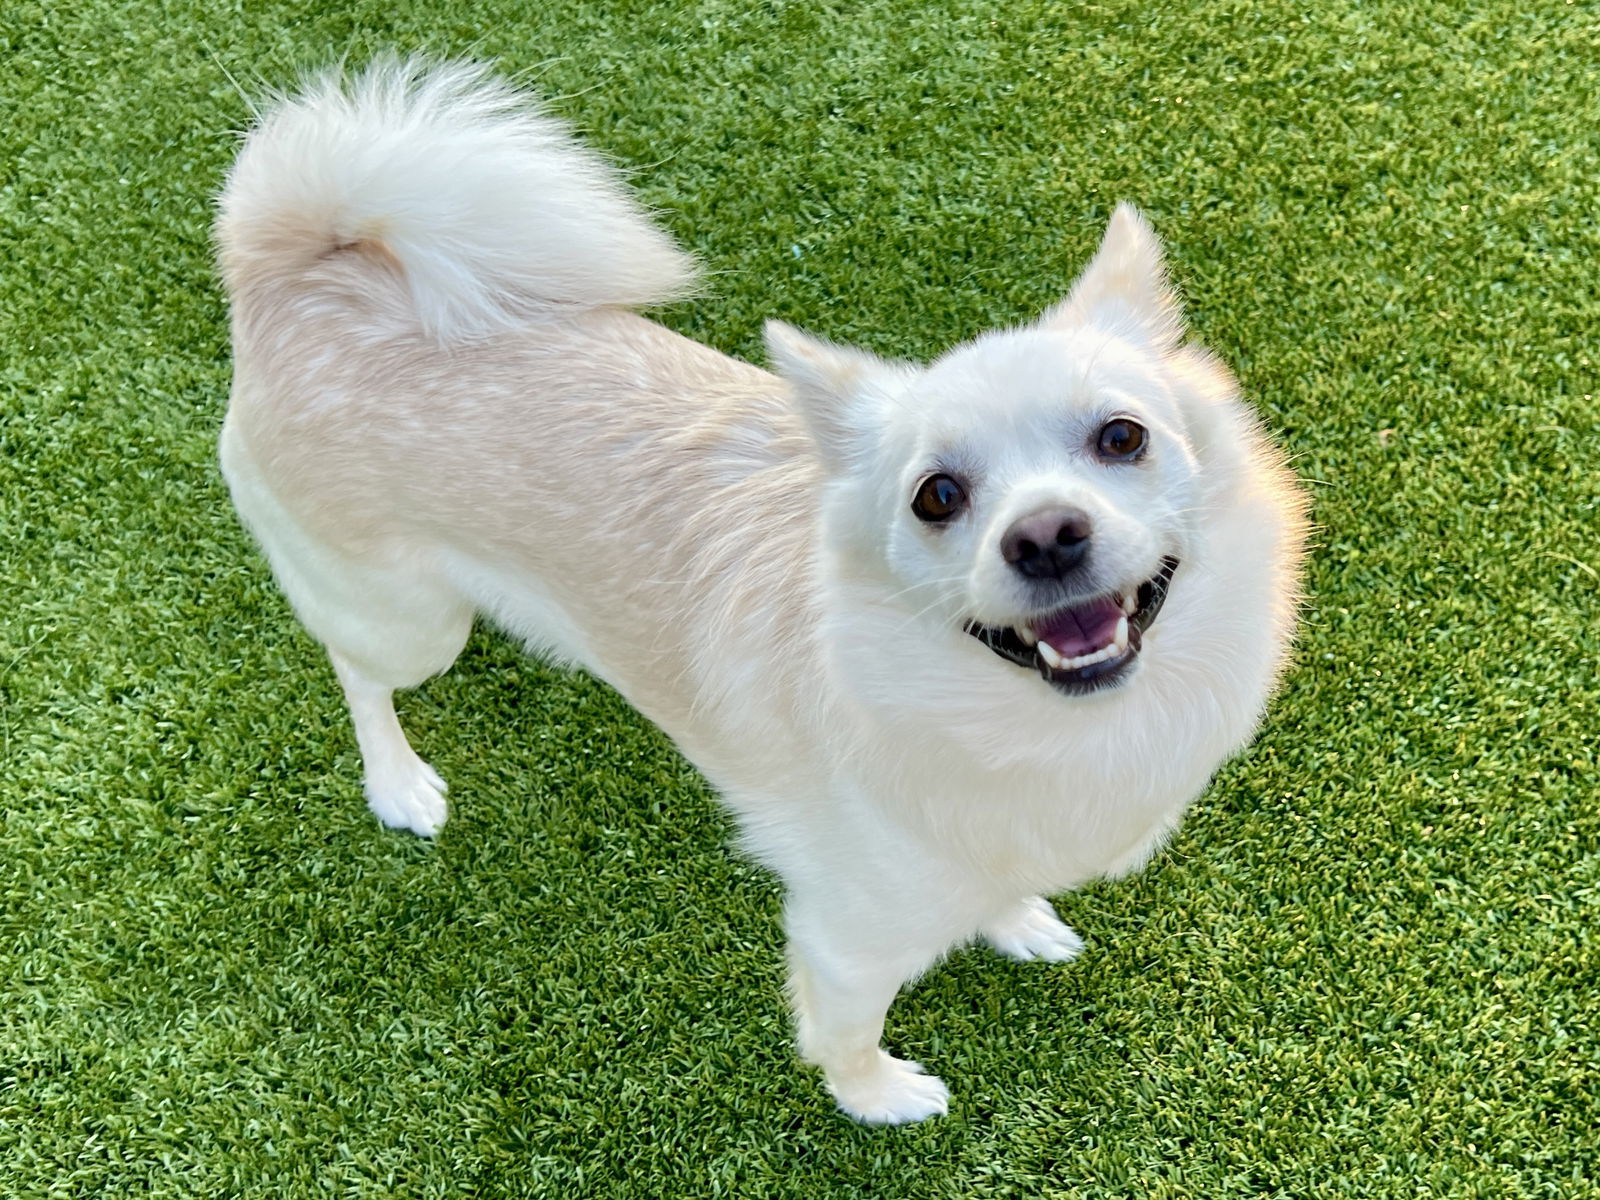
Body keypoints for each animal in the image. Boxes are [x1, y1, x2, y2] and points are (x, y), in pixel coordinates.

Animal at [216, 58, 1312, 1126]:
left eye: (1121, 437)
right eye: (937, 496)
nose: (1044, 536)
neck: (1035, 727)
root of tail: (296, 271)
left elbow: (998, 891)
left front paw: (1019, 921)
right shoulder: (845, 940)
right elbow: (843, 1037)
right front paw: (879, 1101)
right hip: (411, 624)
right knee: (356, 671)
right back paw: (398, 784)